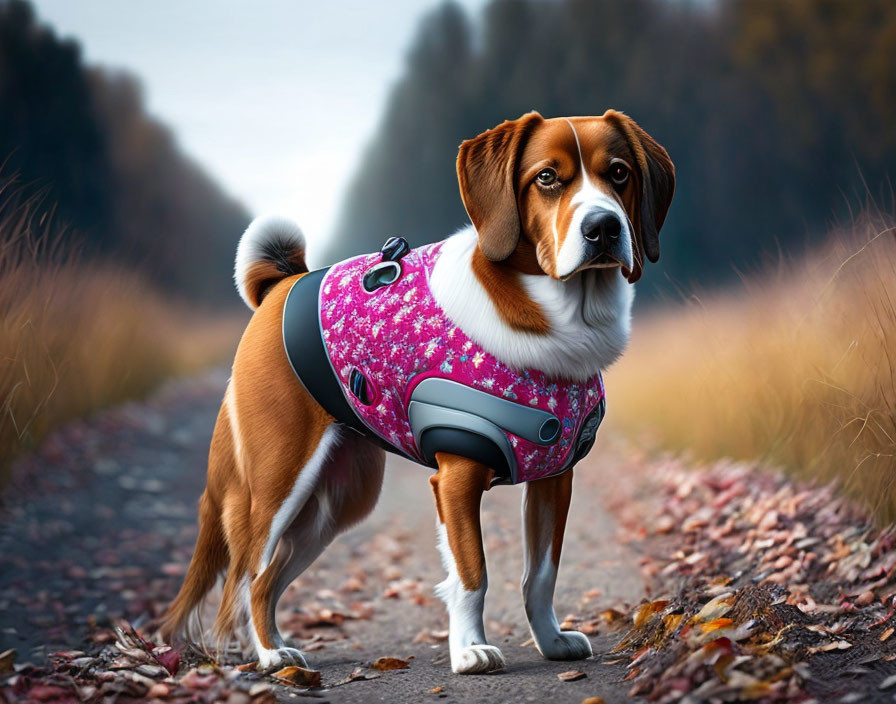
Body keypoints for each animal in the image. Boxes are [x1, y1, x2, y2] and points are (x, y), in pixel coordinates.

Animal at [159, 107, 672, 672]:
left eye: (619, 173)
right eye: (546, 178)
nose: (603, 226)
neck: (558, 319)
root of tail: (282, 285)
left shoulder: (554, 478)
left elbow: (541, 576)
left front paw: (552, 641)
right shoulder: (457, 476)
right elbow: (472, 573)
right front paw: (469, 651)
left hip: (337, 503)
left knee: (268, 577)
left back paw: (277, 651)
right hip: (278, 483)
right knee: (249, 570)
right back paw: (271, 656)